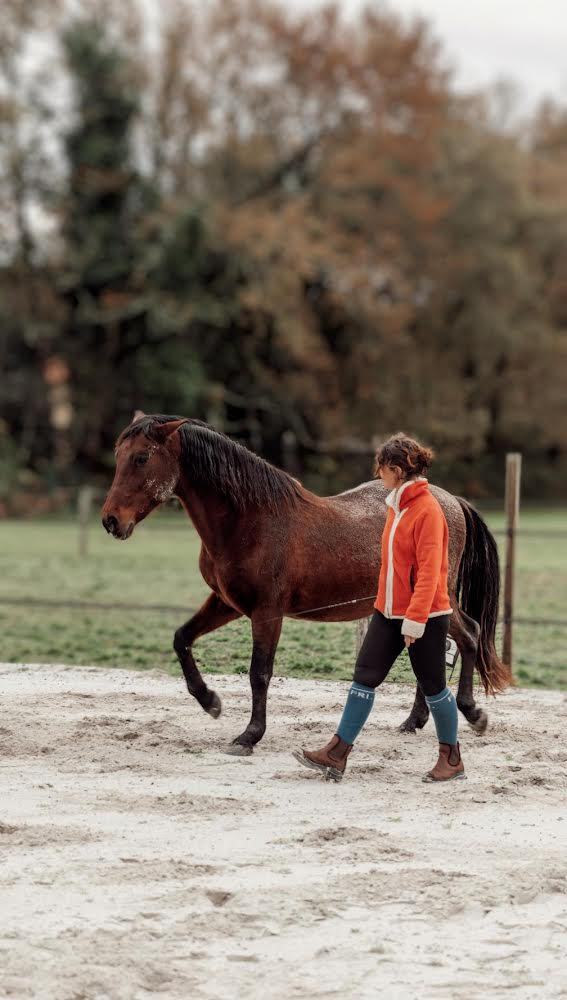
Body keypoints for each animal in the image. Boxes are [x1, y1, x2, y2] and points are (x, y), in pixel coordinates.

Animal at [103, 412, 516, 752]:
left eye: (142, 458)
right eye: (118, 455)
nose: (110, 520)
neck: (249, 520)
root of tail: (449, 500)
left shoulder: (267, 611)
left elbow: (259, 673)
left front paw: (249, 736)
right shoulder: (226, 602)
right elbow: (182, 639)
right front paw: (211, 702)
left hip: (433, 596)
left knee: (468, 636)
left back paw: (472, 713)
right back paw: (414, 721)